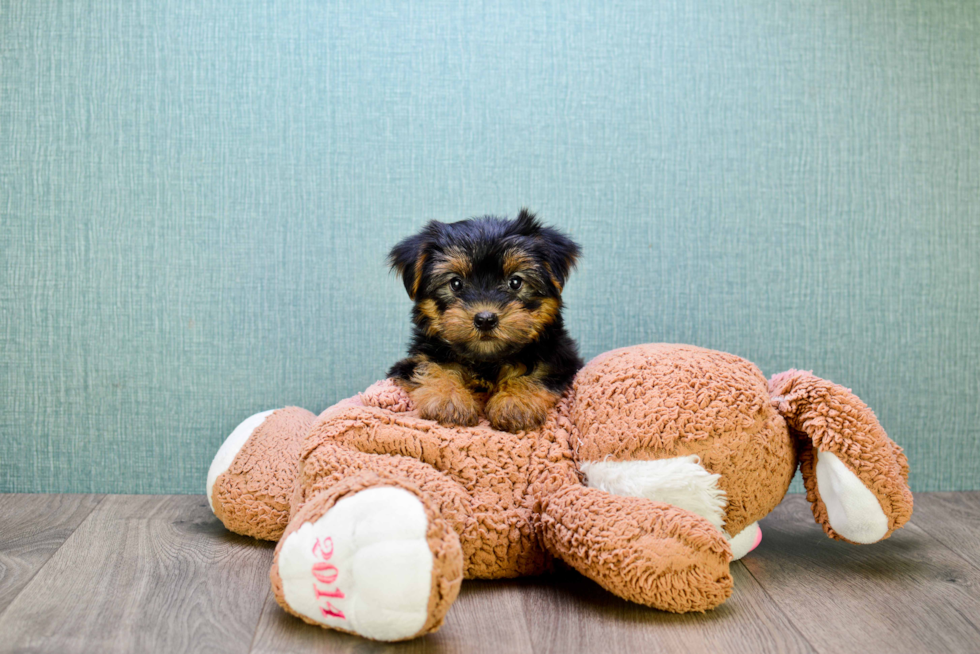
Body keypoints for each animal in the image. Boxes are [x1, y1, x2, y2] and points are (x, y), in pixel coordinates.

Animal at [384, 211, 580, 436]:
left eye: (515, 282)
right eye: (455, 283)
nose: (485, 319)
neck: (487, 360)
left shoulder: (559, 357)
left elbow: (540, 372)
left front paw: (515, 403)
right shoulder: (416, 359)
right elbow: (432, 366)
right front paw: (449, 400)